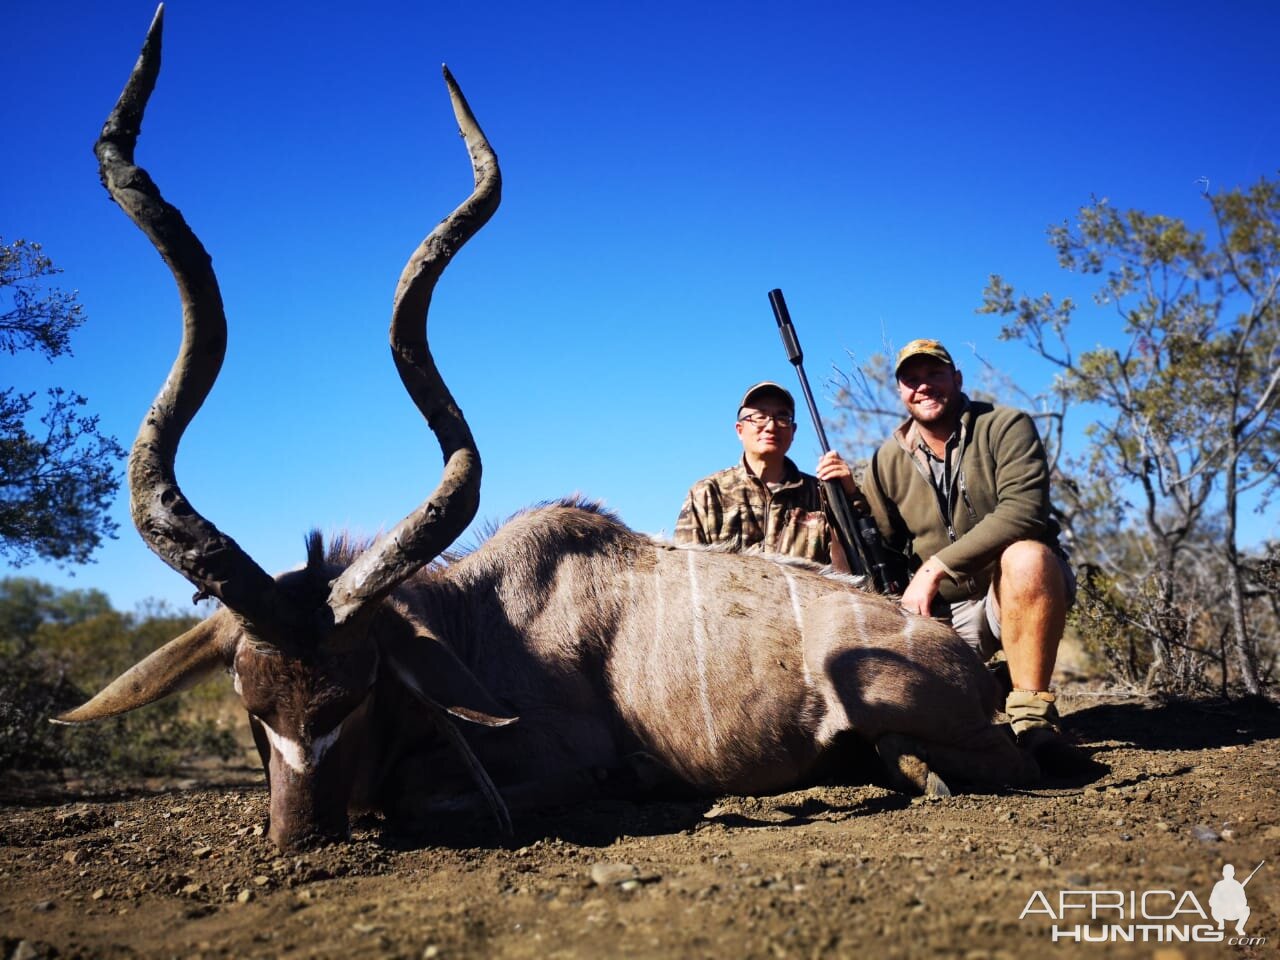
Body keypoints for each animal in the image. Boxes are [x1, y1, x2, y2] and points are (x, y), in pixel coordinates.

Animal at [62, 7, 1039, 849]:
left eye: (360, 687)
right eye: (250, 698)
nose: (303, 835)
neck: (474, 622)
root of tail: (948, 651)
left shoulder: (555, 761)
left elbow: (430, 805)